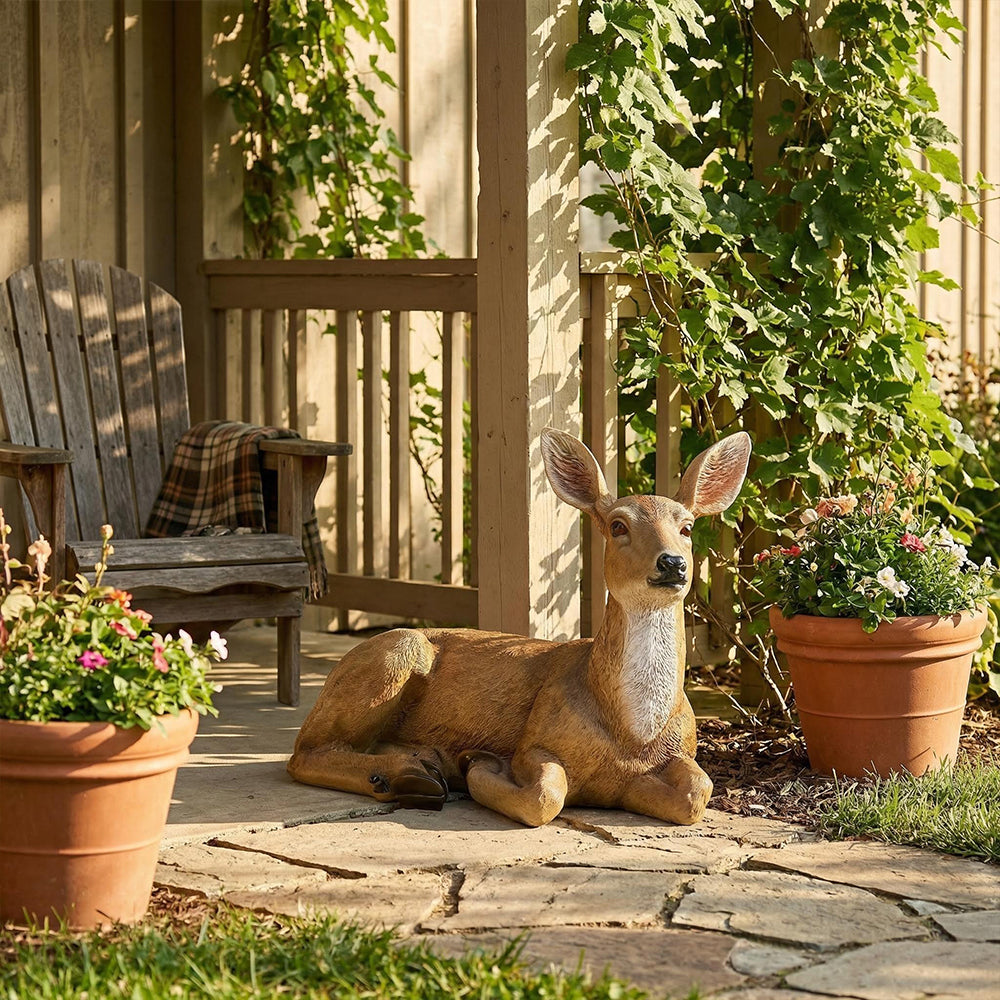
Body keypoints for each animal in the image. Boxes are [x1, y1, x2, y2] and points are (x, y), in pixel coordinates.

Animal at [288, 428, 751, 827]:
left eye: (687, 527)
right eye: (618, 525)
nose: (673, 562)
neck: (632, 734)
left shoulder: (680, 751)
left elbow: (697, 793)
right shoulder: (535, 741)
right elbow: (544, 797)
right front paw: (479, 764)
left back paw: (422, 767)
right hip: (396, 651)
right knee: (302, 754)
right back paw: (406, 775)